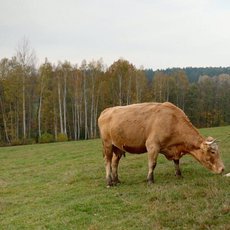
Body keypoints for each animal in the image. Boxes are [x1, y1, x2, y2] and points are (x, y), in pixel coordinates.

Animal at [97, 102, 225, 187]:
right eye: (213, 151)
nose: (223, 169)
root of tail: (106, 110)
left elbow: (176, 162)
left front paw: (179, 174)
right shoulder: (153, 146)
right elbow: (152, 164)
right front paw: (150, 180)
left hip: (118, 147)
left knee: (115, 162)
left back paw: (116, 180)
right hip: (107, 145)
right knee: (107, 161)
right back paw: (109, 182)